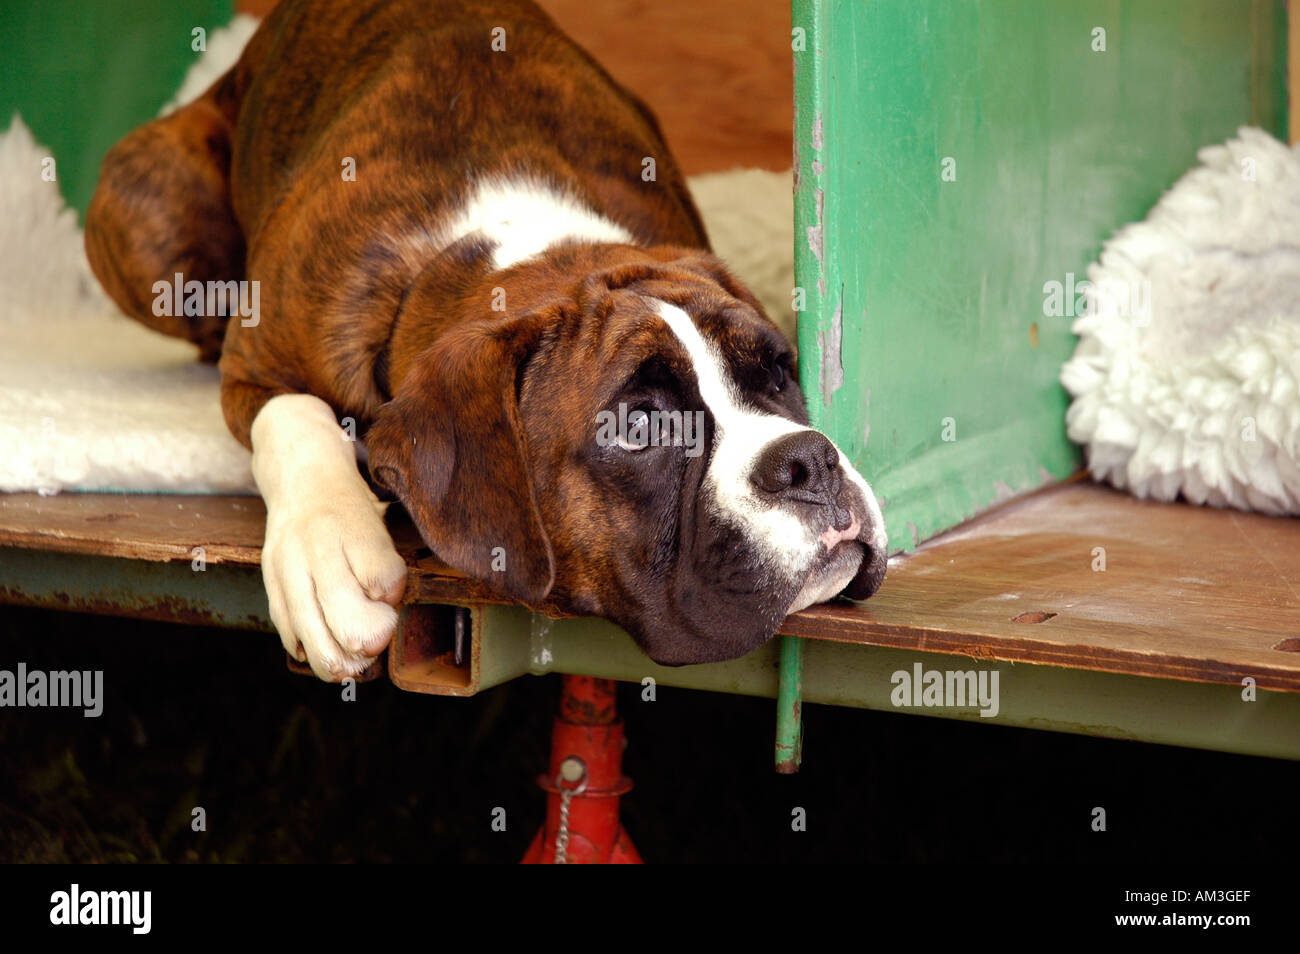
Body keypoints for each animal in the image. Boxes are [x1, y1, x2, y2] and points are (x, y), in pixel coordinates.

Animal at [86, 1, 889, 686]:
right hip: (143, 210)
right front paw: (326, 550)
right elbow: (292, 418)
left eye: (779, 371)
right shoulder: (258, 360)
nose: (809, 461)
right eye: (639, 425)